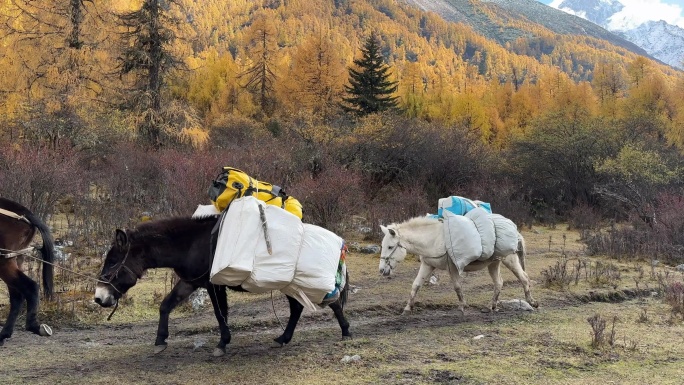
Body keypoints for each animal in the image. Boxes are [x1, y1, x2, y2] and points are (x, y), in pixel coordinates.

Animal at [376, 214, 536, 314]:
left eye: (390, 247)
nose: (382, 270)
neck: (433, 239)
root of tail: (516, 233)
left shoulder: (452, 267)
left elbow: (457, 287)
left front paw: (462, 307)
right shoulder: (427, 265)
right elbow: (415, 286)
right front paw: (407, 309)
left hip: (510, 260)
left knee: (524, 278)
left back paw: (532, 302)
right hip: (493, 264)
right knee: (499, 283)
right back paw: (491, 306)